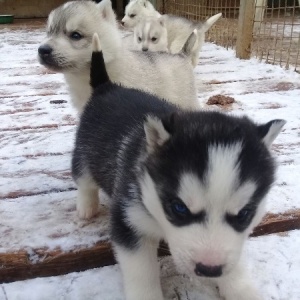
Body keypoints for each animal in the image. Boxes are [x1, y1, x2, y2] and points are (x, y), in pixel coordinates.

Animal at [72, 32, 286, 300]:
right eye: (179, 208)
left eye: (245, 214)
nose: (209, 269)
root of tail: (108, 87)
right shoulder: (128, 219)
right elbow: (141, 271)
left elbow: (234, 261)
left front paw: (241, 289)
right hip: (83, 152)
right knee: (84, 179)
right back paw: (86, 206)